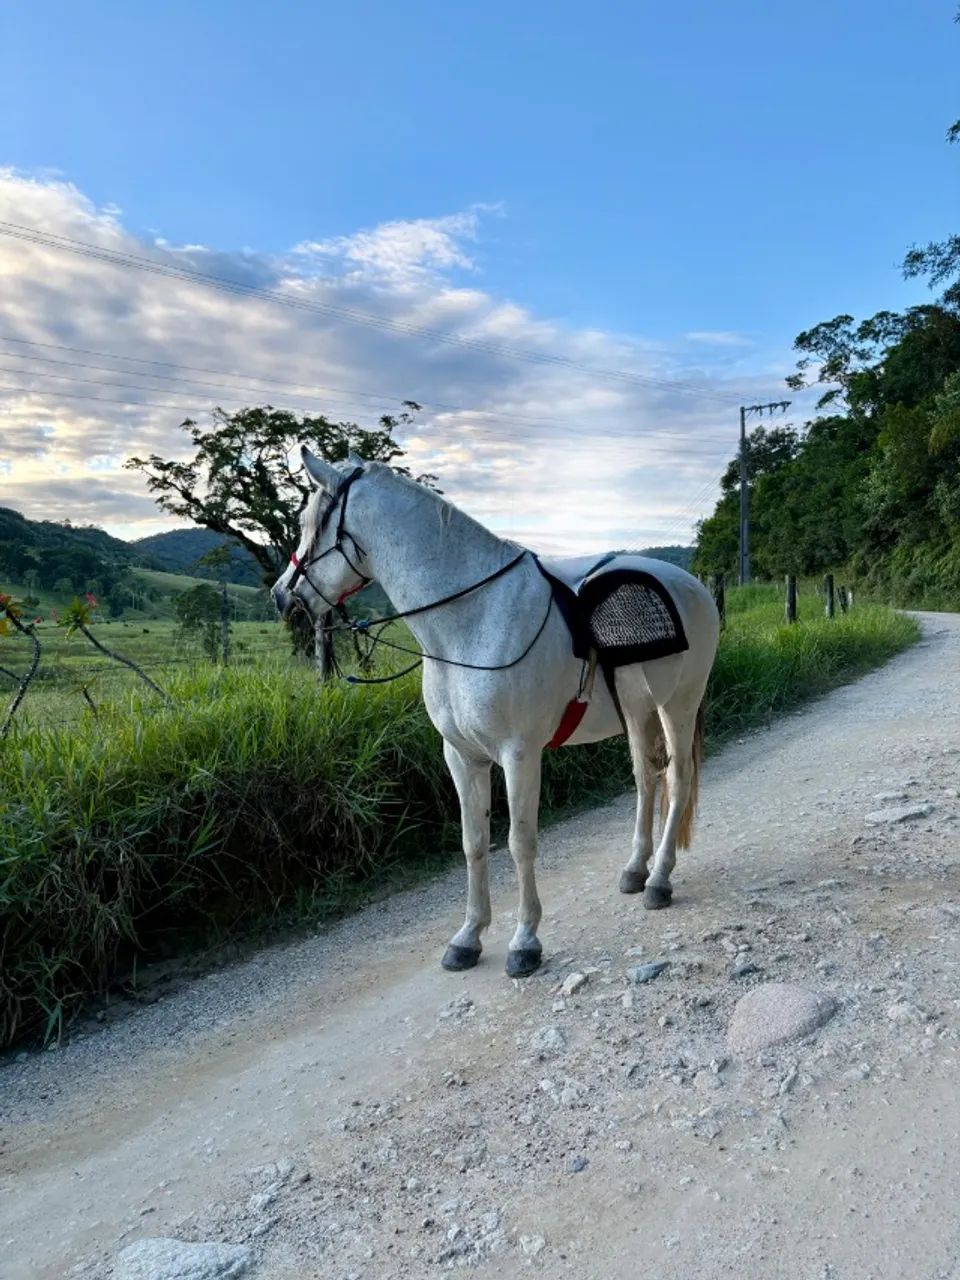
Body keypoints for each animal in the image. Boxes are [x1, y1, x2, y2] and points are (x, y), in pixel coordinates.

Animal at [272, 448, 720, 978]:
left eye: (310, 522)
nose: (282, 595)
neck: (474, 619)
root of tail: (692, 585)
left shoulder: (520, 755)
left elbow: (519, 842)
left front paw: (524, 941)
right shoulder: (462, 756)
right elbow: (474, 842)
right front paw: (468, 937)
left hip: (678, 705)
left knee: (677, 780)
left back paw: (659, 881)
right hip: (639, 712)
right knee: (646, 778)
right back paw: (635, 870)